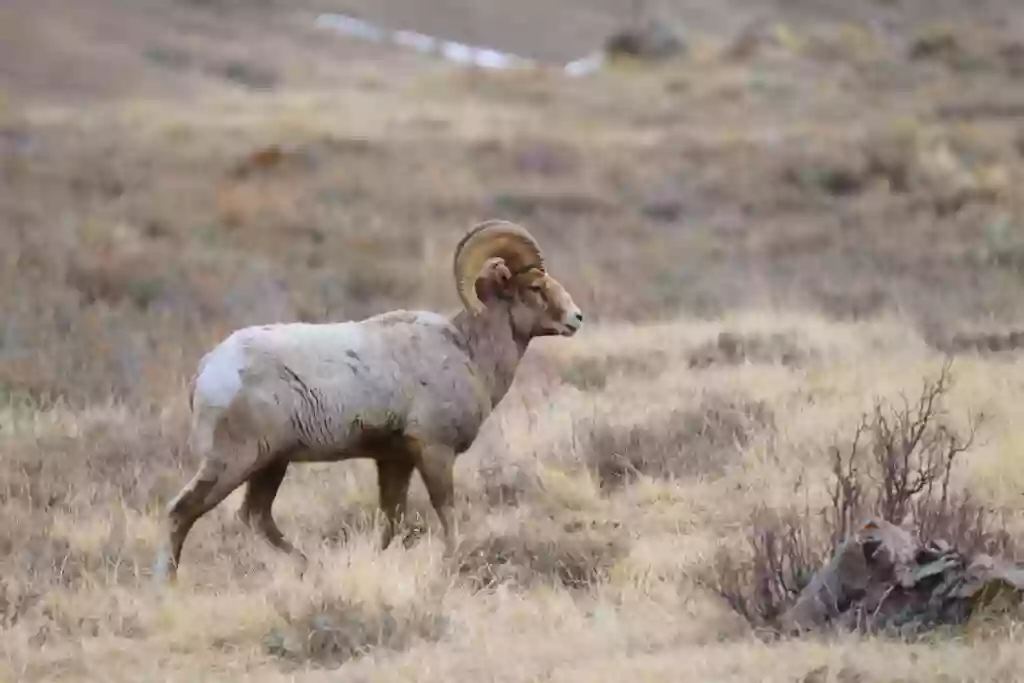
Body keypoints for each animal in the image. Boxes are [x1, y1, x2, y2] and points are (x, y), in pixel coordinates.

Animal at [153, 220, 585, 581]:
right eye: (535, 287)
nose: (576, 318)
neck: (468, 352)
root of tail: (207, 370)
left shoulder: (394, 460)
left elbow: (391, 522)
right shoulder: (433, 451)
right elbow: (445, 513)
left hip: (271, 464)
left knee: (255, 516)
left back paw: (308, 566)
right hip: (235, 462)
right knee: (183, 512)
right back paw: (169, 583)